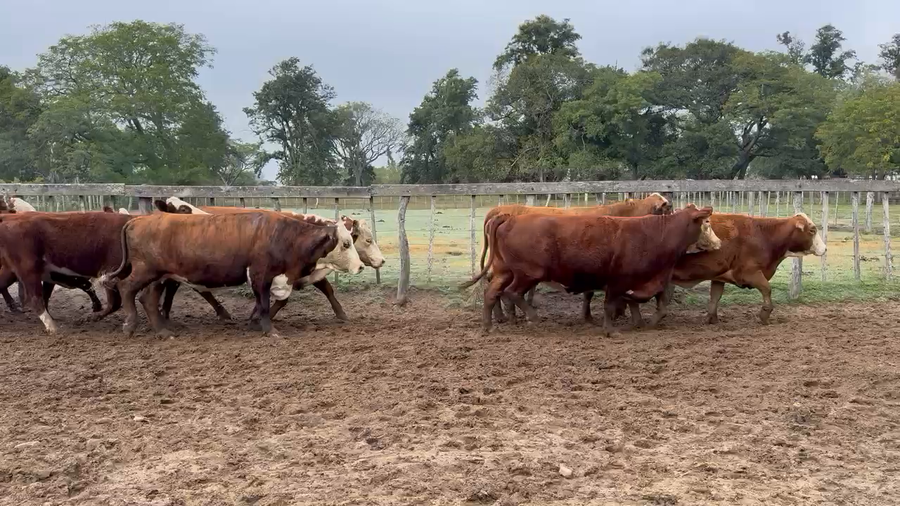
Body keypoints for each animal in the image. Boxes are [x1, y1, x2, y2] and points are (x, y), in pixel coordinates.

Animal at [0, 212, 133, 333]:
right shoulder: (110, 271)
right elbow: (114, 303)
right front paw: (90, 317)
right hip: (28, 270)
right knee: (35, 298)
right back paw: (52, 327)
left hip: (11, 271)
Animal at [104, 211, 357, 338]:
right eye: (346, 243)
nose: (359, 266)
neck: (285, 237)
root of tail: (139, 219)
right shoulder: (260, 275)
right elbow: (264, 303)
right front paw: (270, 330)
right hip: (145, 270)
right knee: (126, 288)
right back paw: (130, 324)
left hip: (160, 276)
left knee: (148, 298)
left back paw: (163, 332)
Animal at [157, 199, 384, 322]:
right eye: (368, 240)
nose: (381, 261)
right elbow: (282, 300)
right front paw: (257, 316)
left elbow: (327, 290)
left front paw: (341, 314)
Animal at [462, 206, 721, 337]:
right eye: (706, 223)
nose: (719, 244)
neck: (656, 234)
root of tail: (509, 219)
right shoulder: (619, 280)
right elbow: (611, 304)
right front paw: (611, 330)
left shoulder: (638, 281)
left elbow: (638, 302)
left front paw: (638, 323)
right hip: (528, 273)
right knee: (512, 293)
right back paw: (532, 318)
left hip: (505, 271)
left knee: (492, 293)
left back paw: (487, 326)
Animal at [669, 212, 827, 325]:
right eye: (812, 230)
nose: (825, 248)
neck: (765, 235)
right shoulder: (749, 273)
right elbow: (767, 289)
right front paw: (764, 314)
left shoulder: (719, 276)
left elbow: (715, 297)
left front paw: (712, 319)